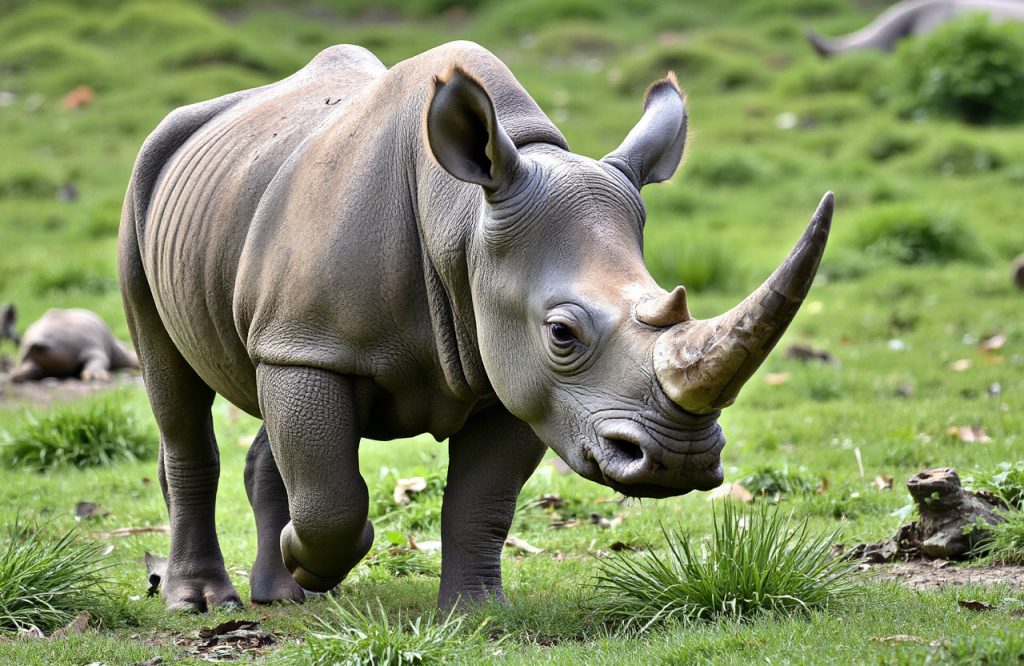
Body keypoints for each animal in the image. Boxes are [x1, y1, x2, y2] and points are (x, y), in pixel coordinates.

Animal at [119, 41, 833, 612]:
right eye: (562, 334)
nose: (677, 462)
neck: (464, 216)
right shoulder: (313, 347)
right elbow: (332, 496)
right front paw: (310, 557)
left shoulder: (519, 379)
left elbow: (481, 502)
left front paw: (476, 615)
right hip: (146, 184)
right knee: (175, 392)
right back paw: (204, 602)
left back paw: (282, 595)